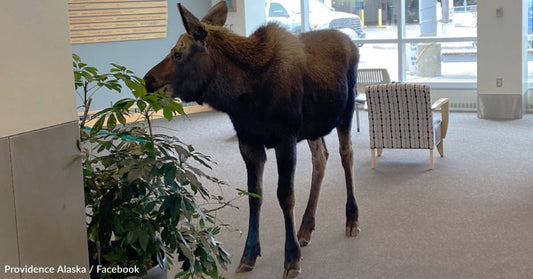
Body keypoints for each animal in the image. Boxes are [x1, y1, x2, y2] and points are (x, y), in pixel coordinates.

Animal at [143, 1, 360, 278]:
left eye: (178, 54)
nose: (148, 80)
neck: (242, 98)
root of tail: (351, 42)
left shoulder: (286, 138)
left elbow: (285, 195)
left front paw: (291, 258)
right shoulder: (248, 142)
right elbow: (254, 195)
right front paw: (249, 254)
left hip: (346, 110)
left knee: (346, 155)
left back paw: (351, 218)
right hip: (314, 127)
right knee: (321, 158)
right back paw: (306, 228)